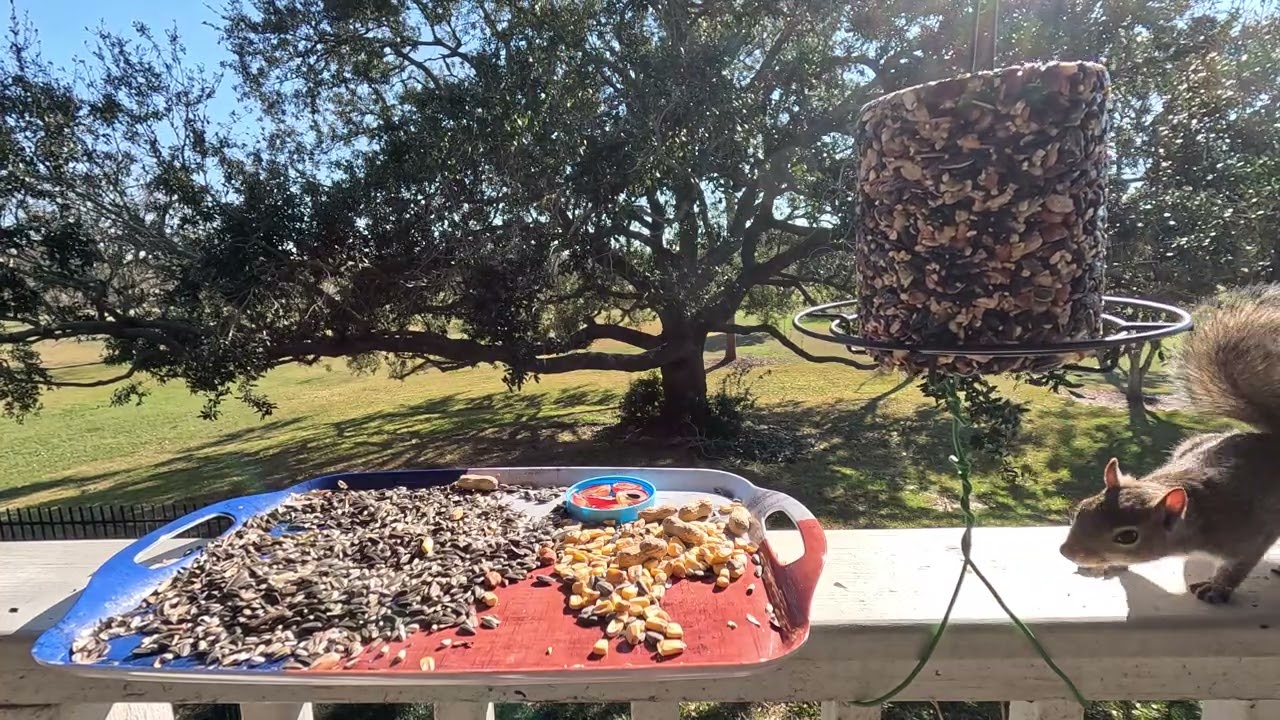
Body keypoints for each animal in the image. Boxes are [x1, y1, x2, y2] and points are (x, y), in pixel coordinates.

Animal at [1060, 284, 1280, 604]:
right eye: (1082, 508)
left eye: (1127, 537)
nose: (1067, 552)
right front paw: (1110, 566)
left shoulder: (1247, 535)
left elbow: (1239, 565)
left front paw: (1217, 588)